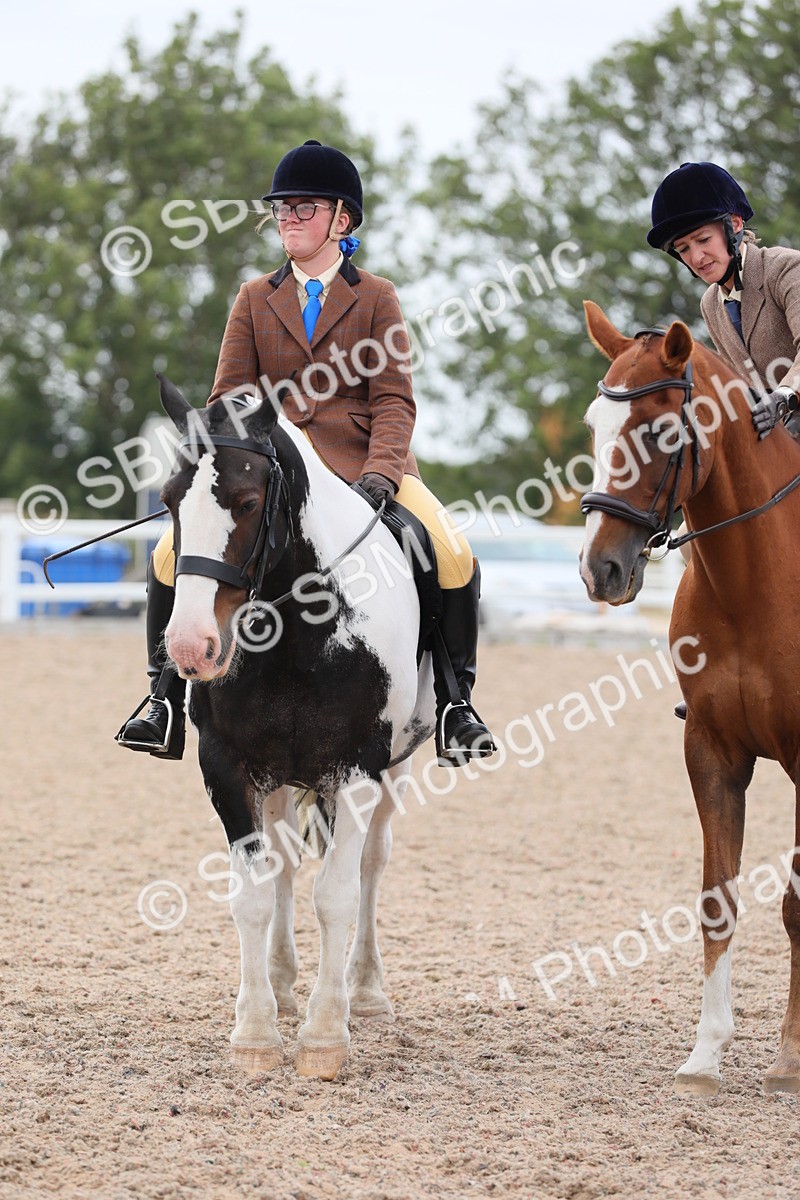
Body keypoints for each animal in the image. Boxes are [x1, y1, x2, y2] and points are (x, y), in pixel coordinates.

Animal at [156, 376, 435, 1080]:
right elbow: (252, 893)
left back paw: (366, 992)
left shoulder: (357, 769)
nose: (192, 648)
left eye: (249, 501)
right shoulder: (227, 767)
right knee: (282, 863)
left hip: (395, 767)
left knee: (371, 864)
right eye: (170, 501)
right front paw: (256, 1032)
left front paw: (324, 1036)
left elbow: (336, 893)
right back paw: (282, 985)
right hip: (278, 774)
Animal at [578, 300, 800, 1097]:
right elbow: (717, 900)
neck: (754, 579)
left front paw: (789, 1058)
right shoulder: (711, 749)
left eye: (659, 432)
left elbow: (795, 903)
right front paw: (706, 1055)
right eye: (594, 425)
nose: (600, 571)